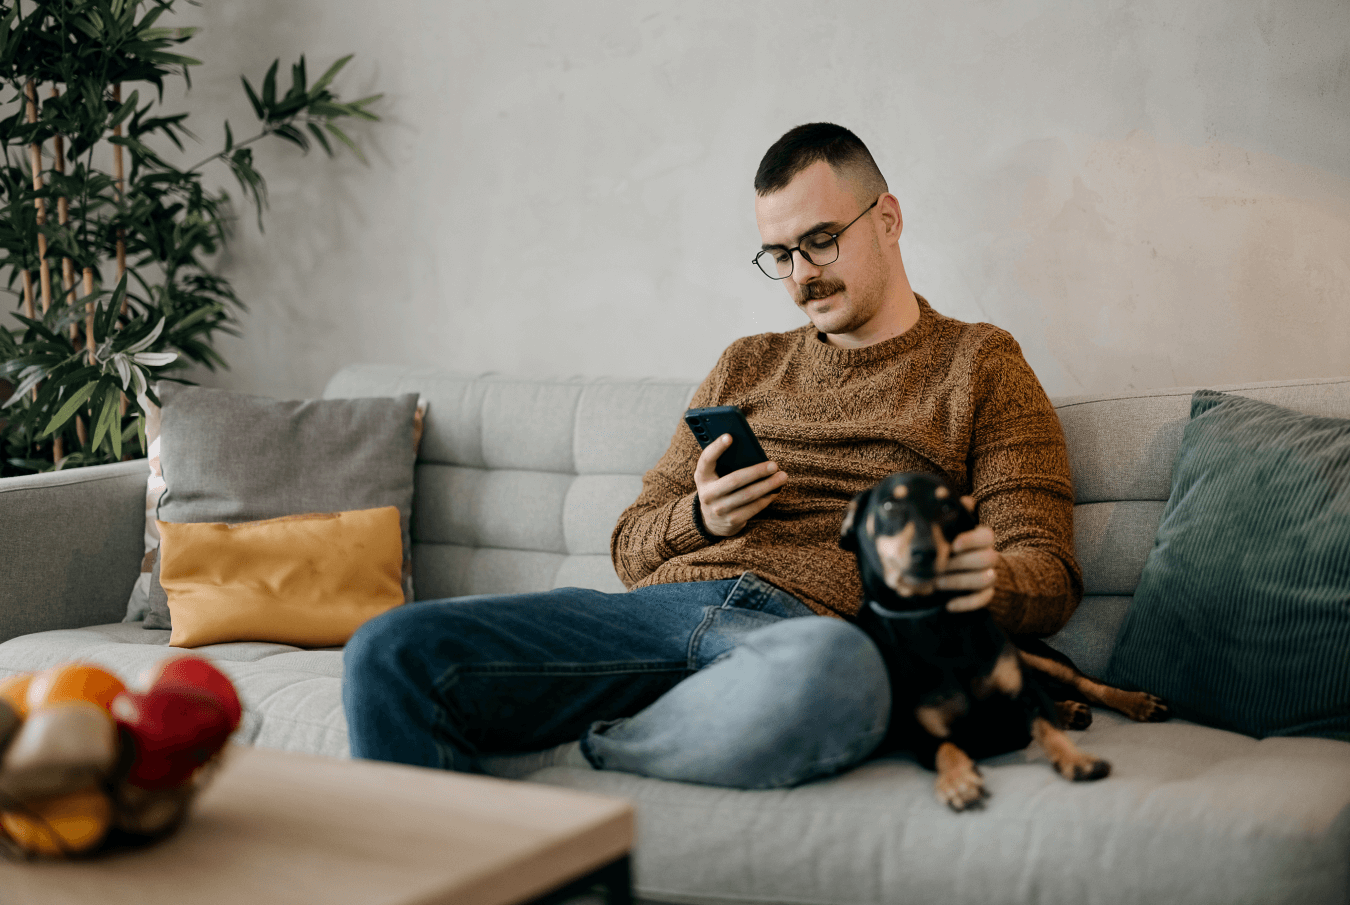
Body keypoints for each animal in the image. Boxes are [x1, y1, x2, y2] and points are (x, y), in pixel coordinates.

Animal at [837, 475, 1166, 815]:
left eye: (948, 506)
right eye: (889, 505)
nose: (924, 553)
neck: (931, 617)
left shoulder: (1026, 696)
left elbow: (1048, 728)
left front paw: (1079, 759)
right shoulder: (924, 734)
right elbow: (947, 749)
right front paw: (958, 782)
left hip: (1032, 654)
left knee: (1085, 682)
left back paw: (1136, 703)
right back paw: (1070, 711)